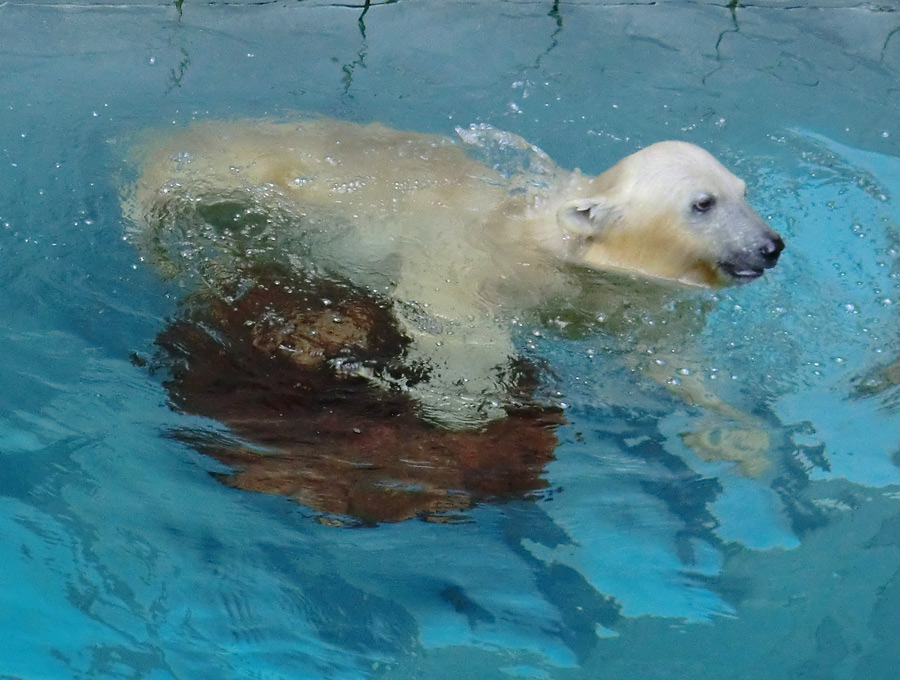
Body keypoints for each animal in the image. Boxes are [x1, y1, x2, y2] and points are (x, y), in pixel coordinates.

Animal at [125, 117, 780, 456]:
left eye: (742, 190)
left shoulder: (628, 301)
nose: (771, 246)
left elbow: (666, 360)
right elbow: (447, 318)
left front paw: (739, 436)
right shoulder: (469, 260)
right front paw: (465, 405)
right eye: (703, 203)